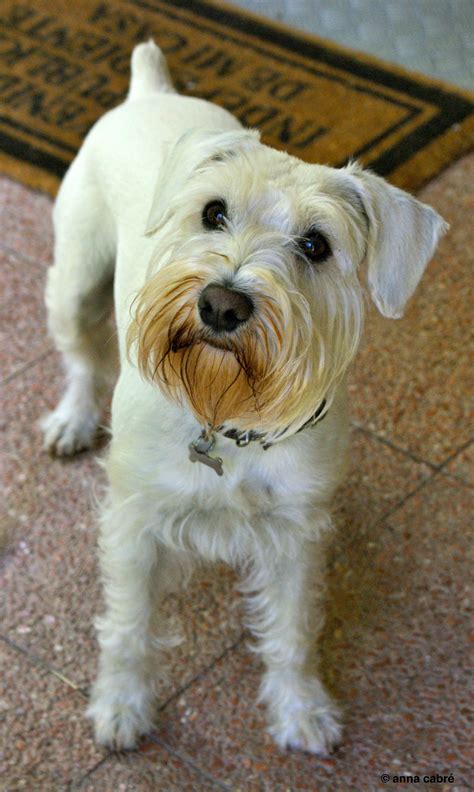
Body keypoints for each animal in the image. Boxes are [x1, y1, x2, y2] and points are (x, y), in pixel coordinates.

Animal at [42, 38, 446, 756]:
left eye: (316, 244)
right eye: (213, 212)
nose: (221, 303)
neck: (228, 415)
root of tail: (150, 89)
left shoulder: (296, 532)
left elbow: (292, 630)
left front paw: (301, 710)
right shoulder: (134, 521)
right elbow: (128, 624)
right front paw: (120, 707)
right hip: (75, 282)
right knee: (83, 360)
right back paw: (72, 419)